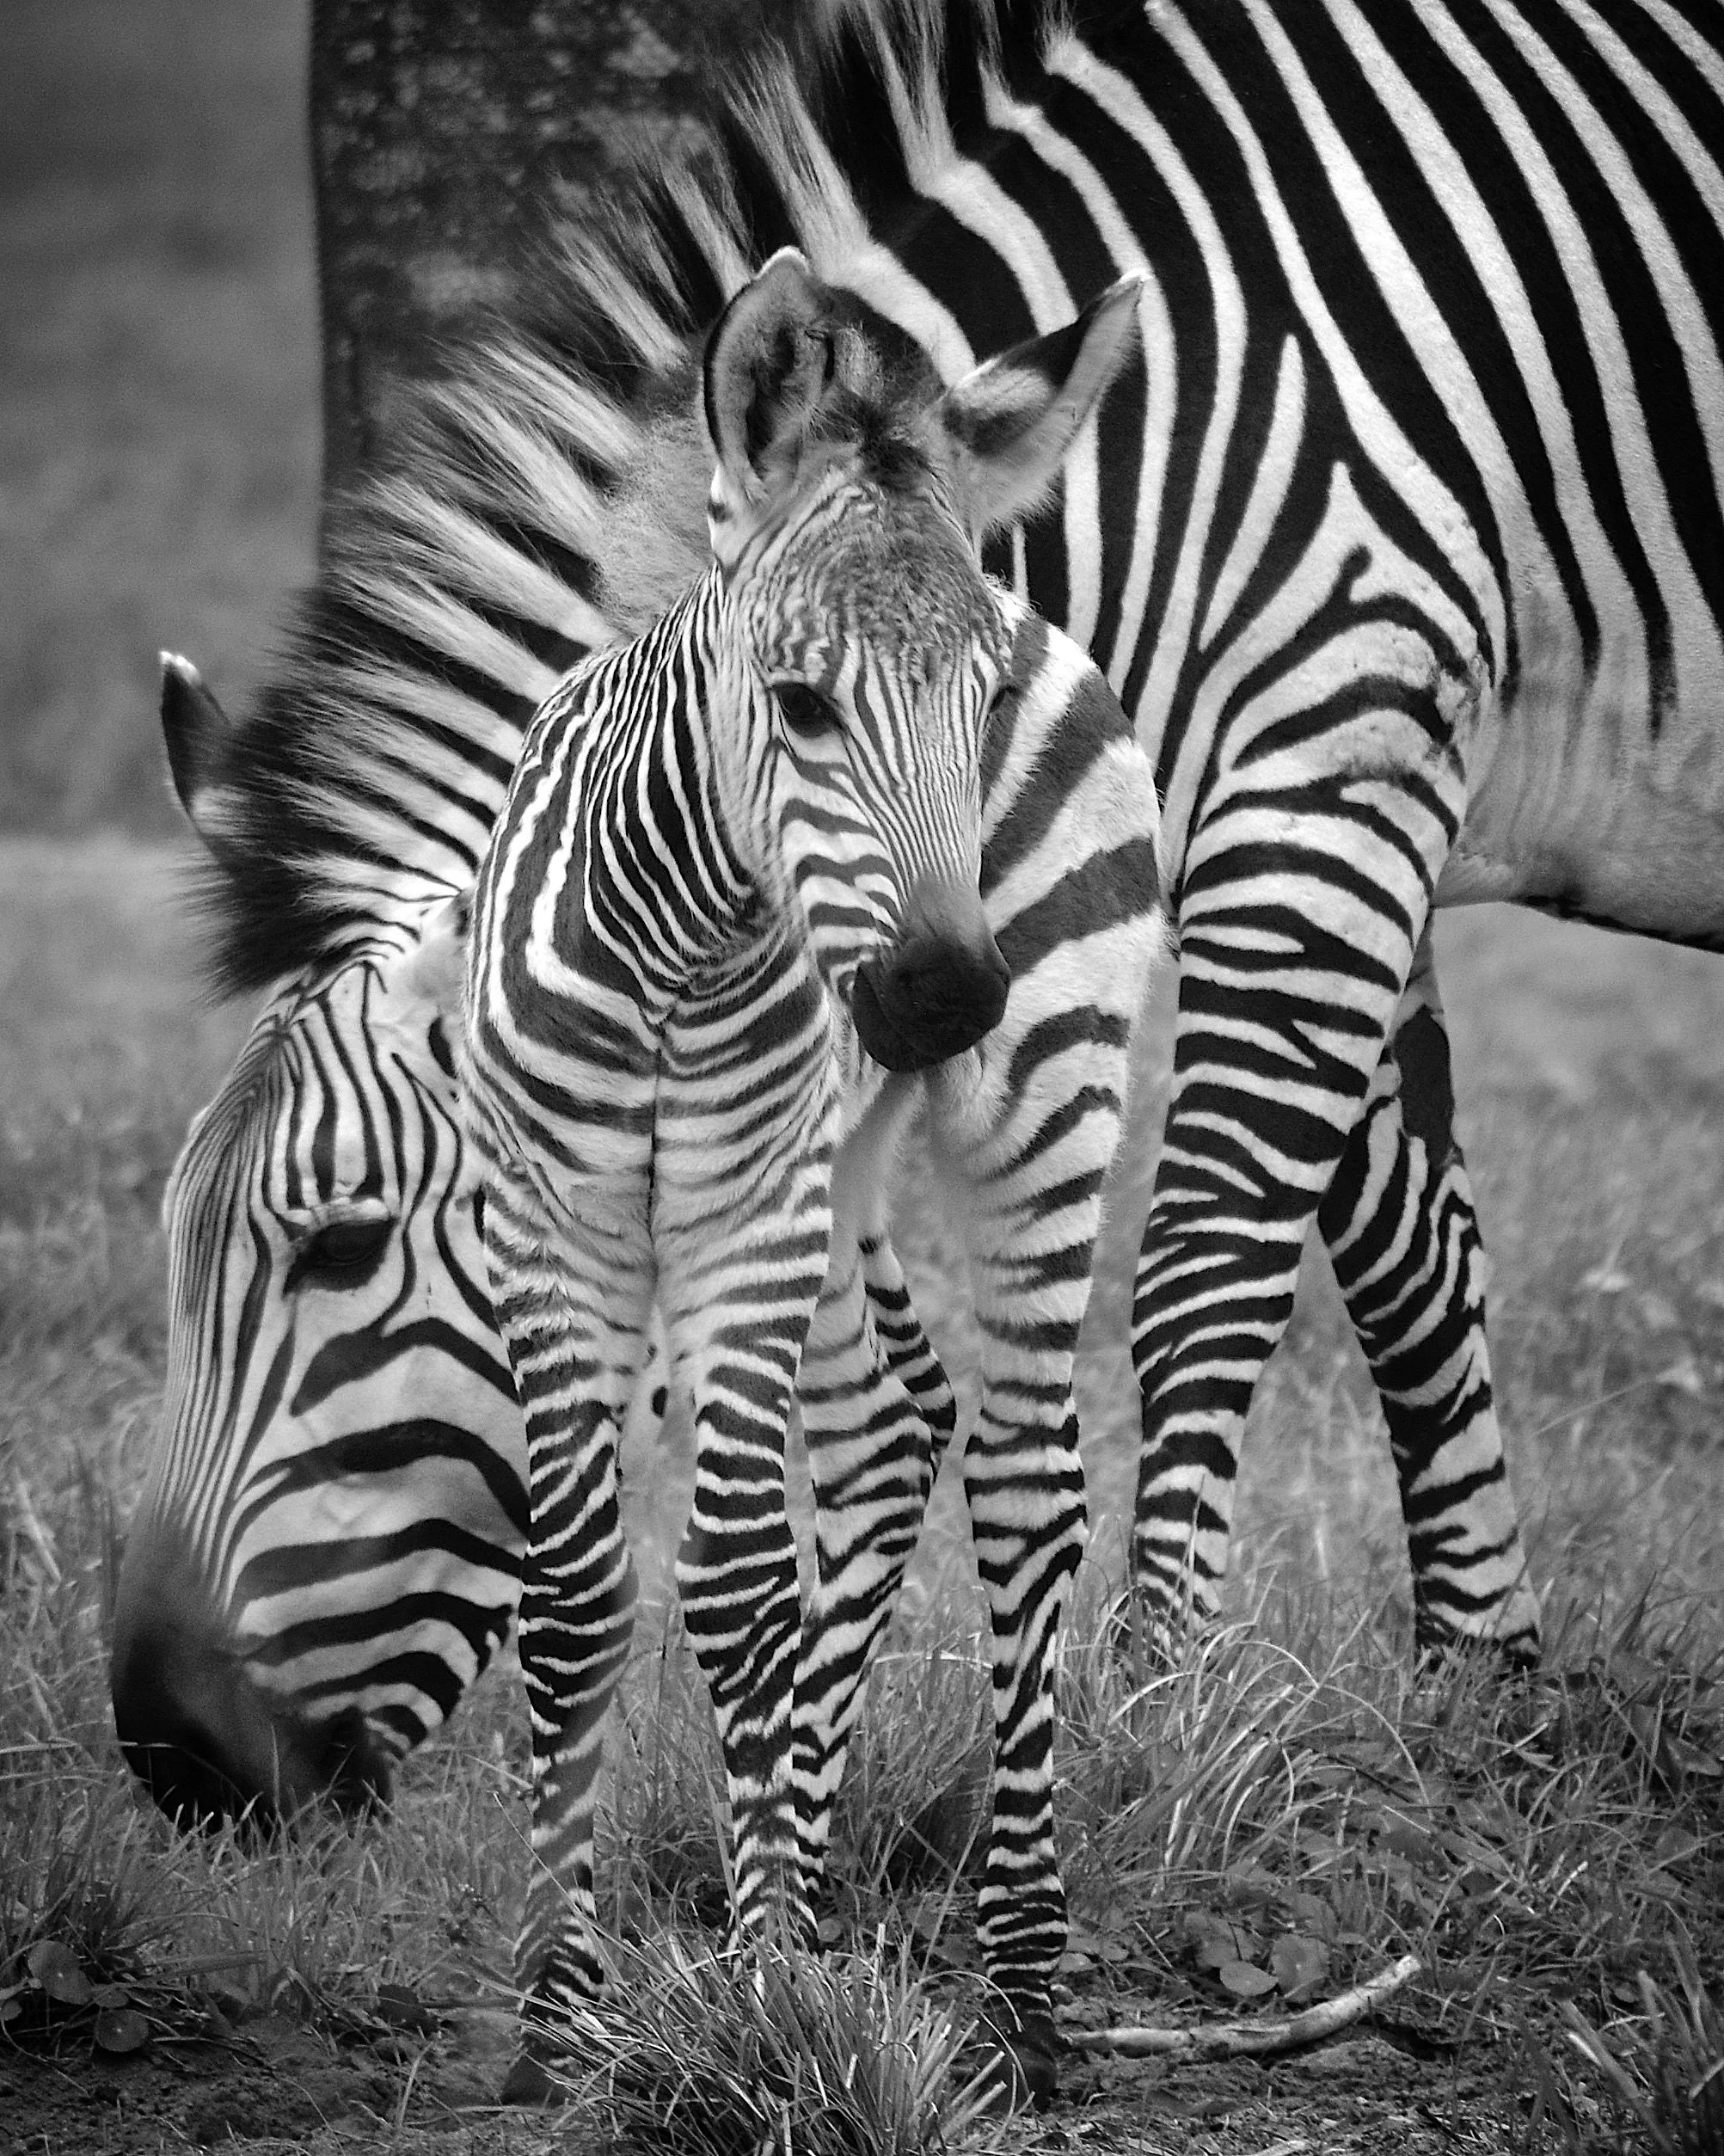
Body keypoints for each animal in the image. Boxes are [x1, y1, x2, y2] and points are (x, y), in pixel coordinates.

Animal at [117, 0, 1724, 1839]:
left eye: (342, 1244)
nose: (165, 1747)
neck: (1169, 433)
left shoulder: (1331, 765)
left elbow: (1207, 1267)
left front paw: (1154, 1740)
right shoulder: (1357, 804)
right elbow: (1411, 1258)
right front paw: (1488, 1706)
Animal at [449, 247, 1157, 2095]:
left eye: (980, 709)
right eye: (801, 704)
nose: (946, 1000)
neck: (674, 945)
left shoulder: (747, 1228)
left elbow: (741, 1587)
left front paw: (765, 1984)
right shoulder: (558, 1233)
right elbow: (576, 1596)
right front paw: (562, 2012)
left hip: (1040, 1116)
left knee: (1030, 1497)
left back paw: (1023, 1977)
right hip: (849, 1198)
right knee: (894, 1435)